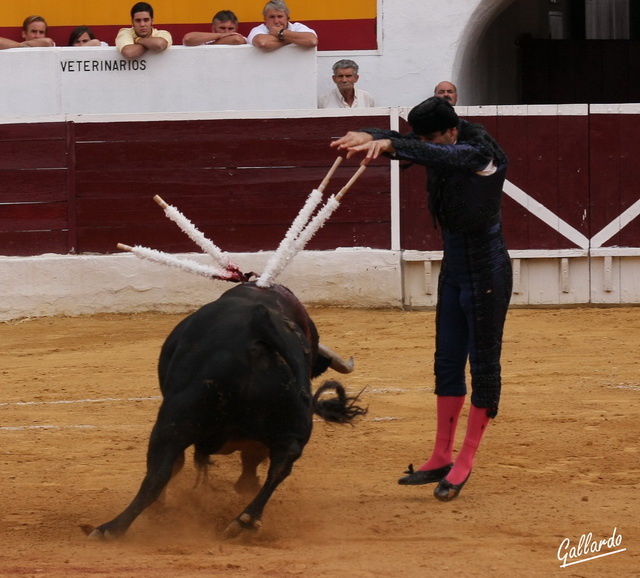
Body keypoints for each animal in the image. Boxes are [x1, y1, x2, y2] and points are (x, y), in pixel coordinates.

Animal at [82, 282, 368, 536]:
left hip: (173, 420)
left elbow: (175, 466)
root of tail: (259, 325)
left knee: (158, 472)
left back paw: (111, 528)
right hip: (291, 424)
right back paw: (245, 520)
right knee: (282, 462)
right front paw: (246, 486)